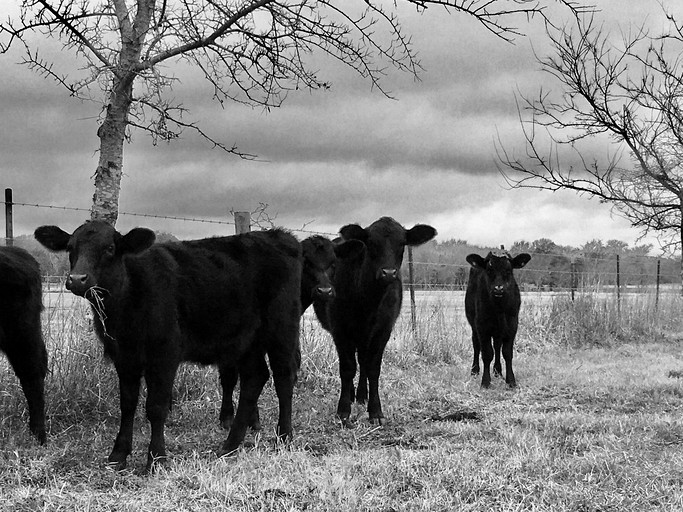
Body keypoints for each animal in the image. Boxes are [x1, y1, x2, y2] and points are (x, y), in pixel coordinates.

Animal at [34, 221, 300, 472]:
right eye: (70, 248)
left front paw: (156, 459)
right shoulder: (124, 357)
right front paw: (118, 455)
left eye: (109, 248)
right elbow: (127, 405)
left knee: (283, 378)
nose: (77, 279)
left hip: (282, 327)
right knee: (255, 378)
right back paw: (230, 445)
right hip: (247, 340)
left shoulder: (165, 353)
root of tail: (278, 235)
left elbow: (156, 406)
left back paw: (283, 437)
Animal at [316, 217, 438, 428]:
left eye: (402, 244)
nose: (388, 273)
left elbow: (373, 368)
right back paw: (352, 395)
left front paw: (375, 411)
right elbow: (347, 368)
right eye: (371, 243)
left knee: (364, 362)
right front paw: (343, 411)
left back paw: (361, 396)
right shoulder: (340, 329)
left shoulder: (383, 330)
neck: (367, 301)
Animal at [468, 251, 532, 388]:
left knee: (497, 347)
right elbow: (487, 353)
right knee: (476, 345)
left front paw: (511, 380)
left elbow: (507, 353)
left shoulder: (512, 326)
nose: (498, 288)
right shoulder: (482, 327)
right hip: (474, 326)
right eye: (489, 269)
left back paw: (497, 370)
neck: (499, 308)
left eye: (509, 270)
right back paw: (474, 371)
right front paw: (485, 382)